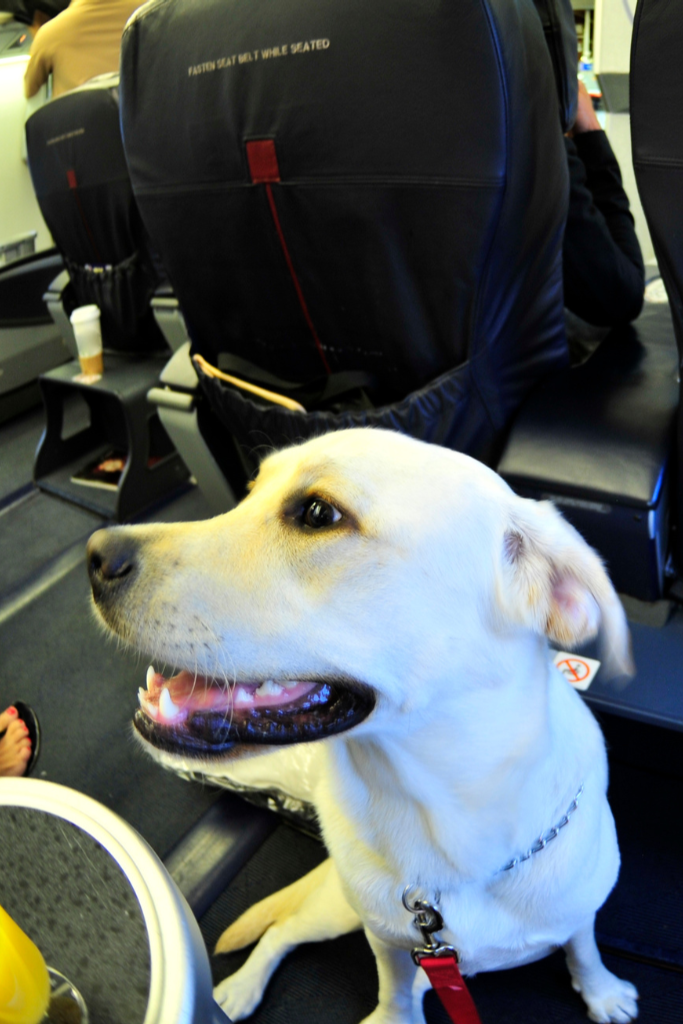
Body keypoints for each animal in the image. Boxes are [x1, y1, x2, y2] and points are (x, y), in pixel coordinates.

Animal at [88, 425, 638, 1024]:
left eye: (318, 513)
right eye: (251, 489)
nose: (96, 556)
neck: (444, 831)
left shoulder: (579, 913)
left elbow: (583, 947)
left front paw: (602, 991)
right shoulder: (389, 939)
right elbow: (391, 982)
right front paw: (394, 1016)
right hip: (338, 910)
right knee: (284, 931)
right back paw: (240, 988)